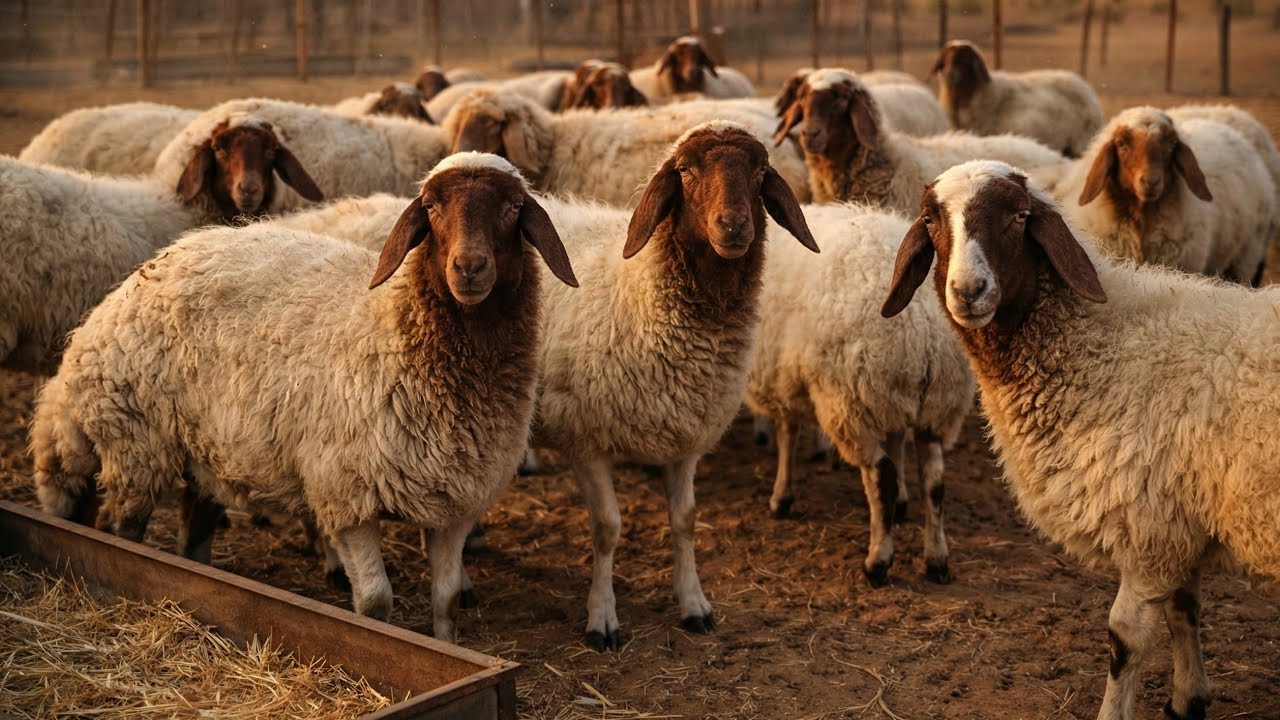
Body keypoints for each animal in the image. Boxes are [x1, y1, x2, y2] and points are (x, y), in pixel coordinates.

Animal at [31, 152, 580, 642]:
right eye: (431, 206)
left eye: (513, 207)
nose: (468, 268)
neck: (395, 330)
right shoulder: (347, 495)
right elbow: (376, 603)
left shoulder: (454, 503)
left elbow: (444, 602)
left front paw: (446, 644)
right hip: (136, 444)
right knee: (119, 525)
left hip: (204, 453)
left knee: (195, 529)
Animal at [522, 122, 817, 650]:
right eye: (684, 170)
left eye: (760, 170)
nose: (733, 226)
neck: (641, 294)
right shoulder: (586, 441)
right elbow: (607, 528)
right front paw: (602, 616)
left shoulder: (684, 436)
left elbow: (686, 521)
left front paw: (693, 603)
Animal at [745, 203, 975, 585]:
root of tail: (923, 323)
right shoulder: (892, 401)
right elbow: (896, 445)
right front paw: (901, 506)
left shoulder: (786, 377)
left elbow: (787, 434)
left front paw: (781, 498)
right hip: (938, 403)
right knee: (935, 481)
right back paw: (937, 559)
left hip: (849, 400)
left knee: (879, 476)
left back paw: (878, 561)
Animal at [881, 159, 1280, 720]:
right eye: (930, 220)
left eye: (1019, 217)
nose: (969, 290)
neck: (1102, 349)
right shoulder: (1179, 520)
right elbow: (1184, 608)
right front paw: (1189, 697)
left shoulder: (1145, 525)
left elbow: (1124, 641)